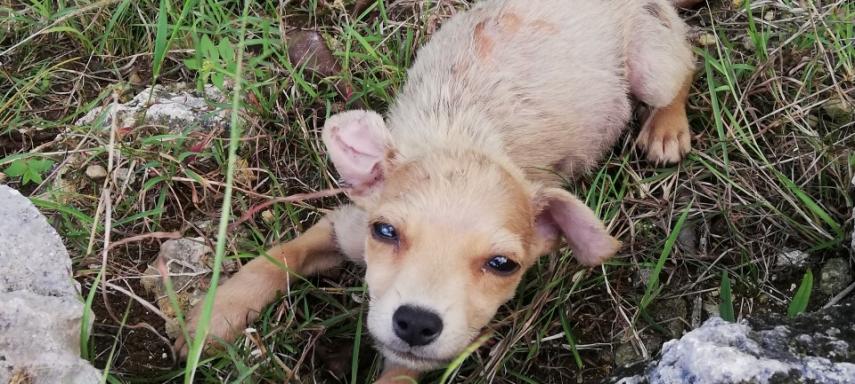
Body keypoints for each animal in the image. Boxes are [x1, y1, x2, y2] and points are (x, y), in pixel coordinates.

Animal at [177, 0, 700, 380]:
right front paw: (211, 319)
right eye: (385, 232)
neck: (460, 139)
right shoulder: (346, 225)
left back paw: (666, 130)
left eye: (503, 265)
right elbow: (275, 259)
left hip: (651, 63)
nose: (416, 323)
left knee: (685, 68)